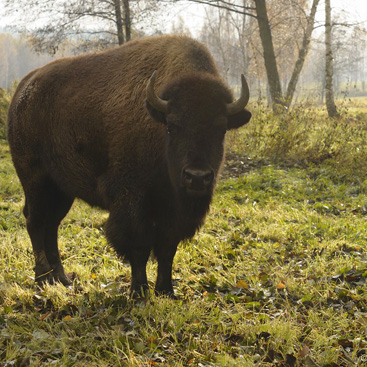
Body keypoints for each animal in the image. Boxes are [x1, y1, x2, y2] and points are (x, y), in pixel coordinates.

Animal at [7, 34, 252, 300]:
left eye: (221, 129)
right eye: (172, 126)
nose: (197, 177)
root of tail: (23, 91)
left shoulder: (173, 211)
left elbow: (167, 249)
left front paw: (166, 292)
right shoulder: (133, 202)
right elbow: (139, 246)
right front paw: (139, 291)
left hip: (62, 190)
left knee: (51, 225)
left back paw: (61, 279)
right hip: (34, 179)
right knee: (35, 221)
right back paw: (42, 279)